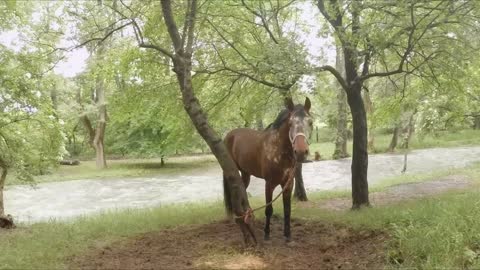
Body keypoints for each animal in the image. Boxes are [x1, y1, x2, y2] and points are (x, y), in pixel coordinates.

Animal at [224, 97, 314, 243]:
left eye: (310, 122)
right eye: (290, 123)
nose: (301, 152)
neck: (277, 151)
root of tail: (229, 135)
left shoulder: (288, 184)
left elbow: (287, 210)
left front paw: (288, 235)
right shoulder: (269, 184)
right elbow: (269, 209)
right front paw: (267, 234)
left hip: (245, 173)